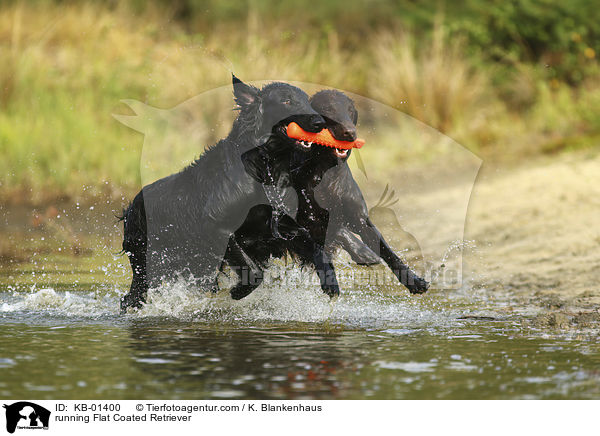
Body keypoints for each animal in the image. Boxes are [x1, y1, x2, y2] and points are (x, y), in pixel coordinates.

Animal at [120, 76, 328, 314]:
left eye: (307, 101)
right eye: (287, 101)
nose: (320, 122)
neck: (264, 165)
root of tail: (131, 207)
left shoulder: (278, 227)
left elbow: (314, 246)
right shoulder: (218, 227)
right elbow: (254, 273)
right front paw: (237, 292)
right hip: (148, 263)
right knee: (130, 298)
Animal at [223, 88, 428, 300]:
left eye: (350, 110)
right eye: (328, 110)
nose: (350, 133)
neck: (325, 174)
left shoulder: (358, 216)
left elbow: (387, 251)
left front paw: (414, 281)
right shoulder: (301, 221)